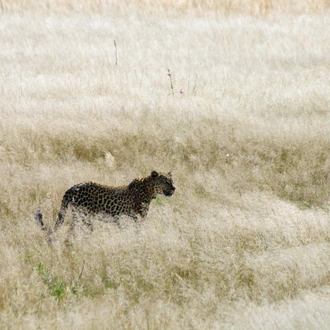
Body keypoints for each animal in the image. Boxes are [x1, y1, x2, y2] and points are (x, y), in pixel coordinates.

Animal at [36, 171, 175, 233]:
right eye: (165, 181)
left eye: (171, 181)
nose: (174, 188)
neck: (149, 190)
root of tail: (72, 188)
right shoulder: (136, 220)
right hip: (86, 218)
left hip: (77, 217)